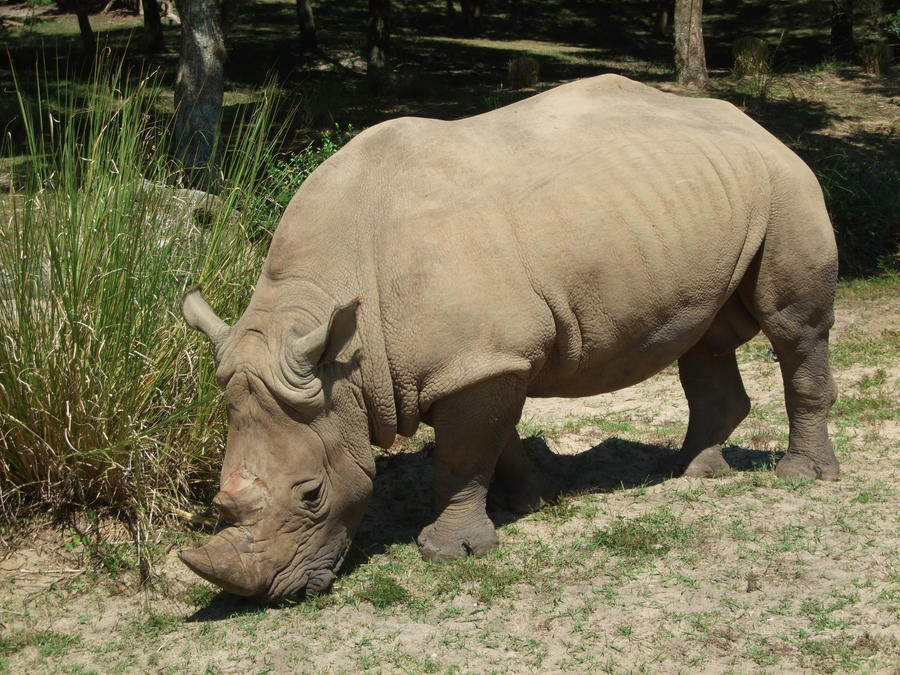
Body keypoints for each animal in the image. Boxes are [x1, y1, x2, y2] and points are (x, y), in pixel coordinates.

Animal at [179, 75, 839, 601]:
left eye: (312, 495)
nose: (270, 593)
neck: (345, 349)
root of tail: (758, 125)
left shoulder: (478, 360)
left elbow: (463, 455)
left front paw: (450, 554)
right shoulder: (487, 356)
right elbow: (497, 442)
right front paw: (533, 502)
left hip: (787, 186)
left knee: (793, 329)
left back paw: (800, 477)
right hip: (704, 197)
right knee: (705, 335)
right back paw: (695, 474)